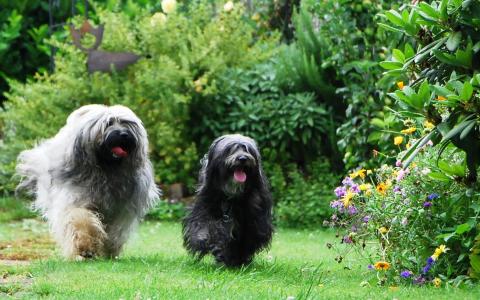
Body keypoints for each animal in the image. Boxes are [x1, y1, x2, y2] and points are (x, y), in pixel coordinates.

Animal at [15, 105, 159, 260]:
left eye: (127, 124)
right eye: (108, 124)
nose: (124, 134)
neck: (106, 169)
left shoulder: (122, 209)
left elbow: (116, 230)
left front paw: (110, 248)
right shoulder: (75, 199)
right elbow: (81, 219)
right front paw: (85, 246)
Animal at [183, 134, 274, 268]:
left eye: (247, 150)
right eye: (230, 149)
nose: (242, 158)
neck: (231, 197)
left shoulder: (254, 220)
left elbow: (249, 239)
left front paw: (237, 260)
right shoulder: (205, 205)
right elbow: (203, 225)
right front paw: (204, 238)